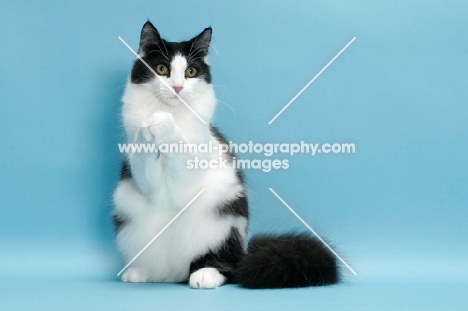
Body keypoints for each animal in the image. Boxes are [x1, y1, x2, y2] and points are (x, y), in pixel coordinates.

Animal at [113, 21, 340, 290]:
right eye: (162, 69)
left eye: (190, 72)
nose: (178, 87)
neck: (173, 111)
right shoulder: (143, 177)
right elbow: (144, 156)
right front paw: (149, 126)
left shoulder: (188, 175)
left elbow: (178, 144)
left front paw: (161, 122)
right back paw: (141, 272)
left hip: (224, 225)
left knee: (229, 267)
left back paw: (204, 275)